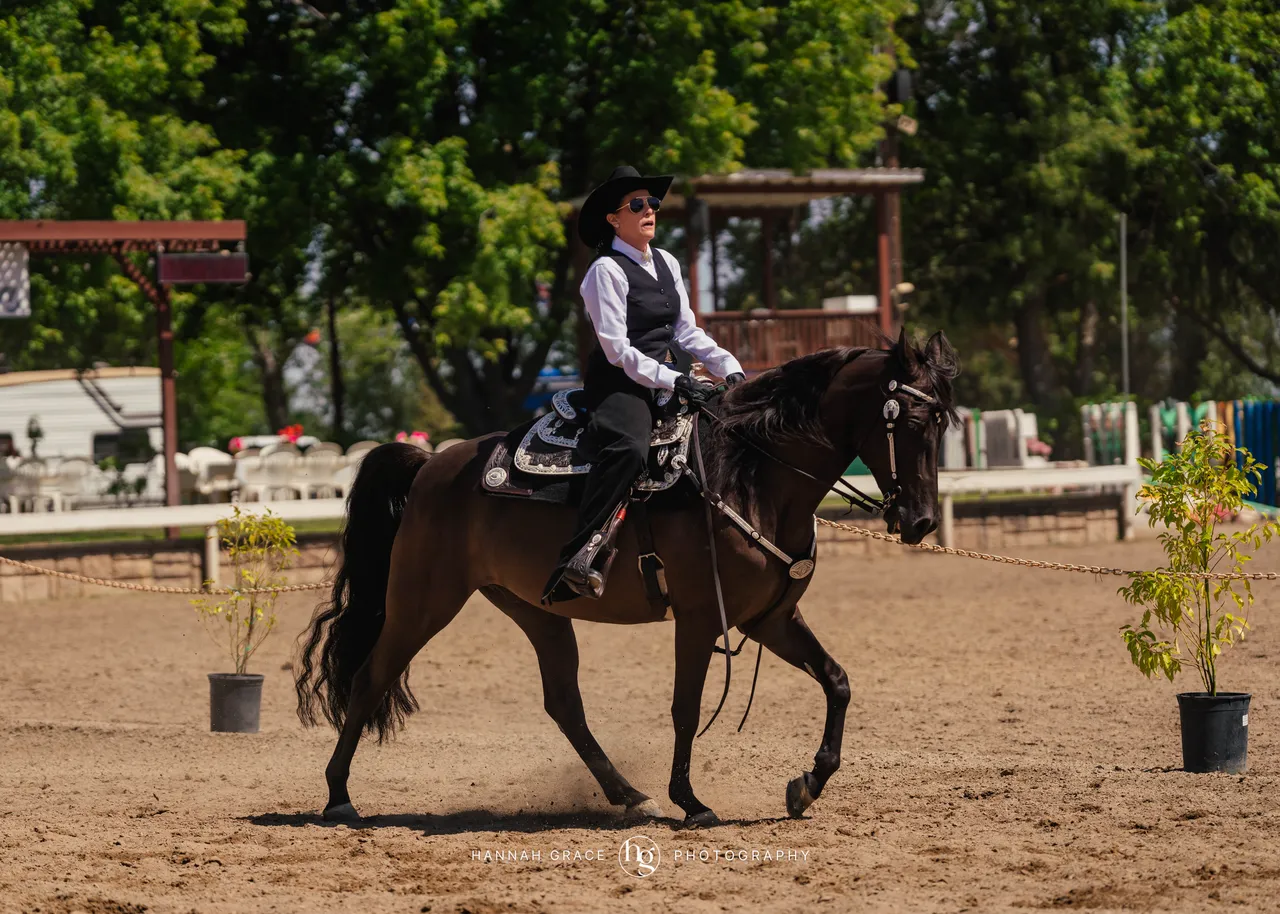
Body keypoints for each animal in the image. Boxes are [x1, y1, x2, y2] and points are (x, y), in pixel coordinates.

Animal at [295, 329, 959, 828]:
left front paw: (807, 783)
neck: (751, 474)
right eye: (906, 420)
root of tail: (432, 461)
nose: (922, 521)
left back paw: (628, 796)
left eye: (944, 422)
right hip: (422, 602)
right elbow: (686, 709)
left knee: (563, 703)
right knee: (369, 678)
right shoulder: (699, 617)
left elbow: (837, 681)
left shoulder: (769, 617)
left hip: (535, 609)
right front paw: (691, 802)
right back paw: (338, 797)